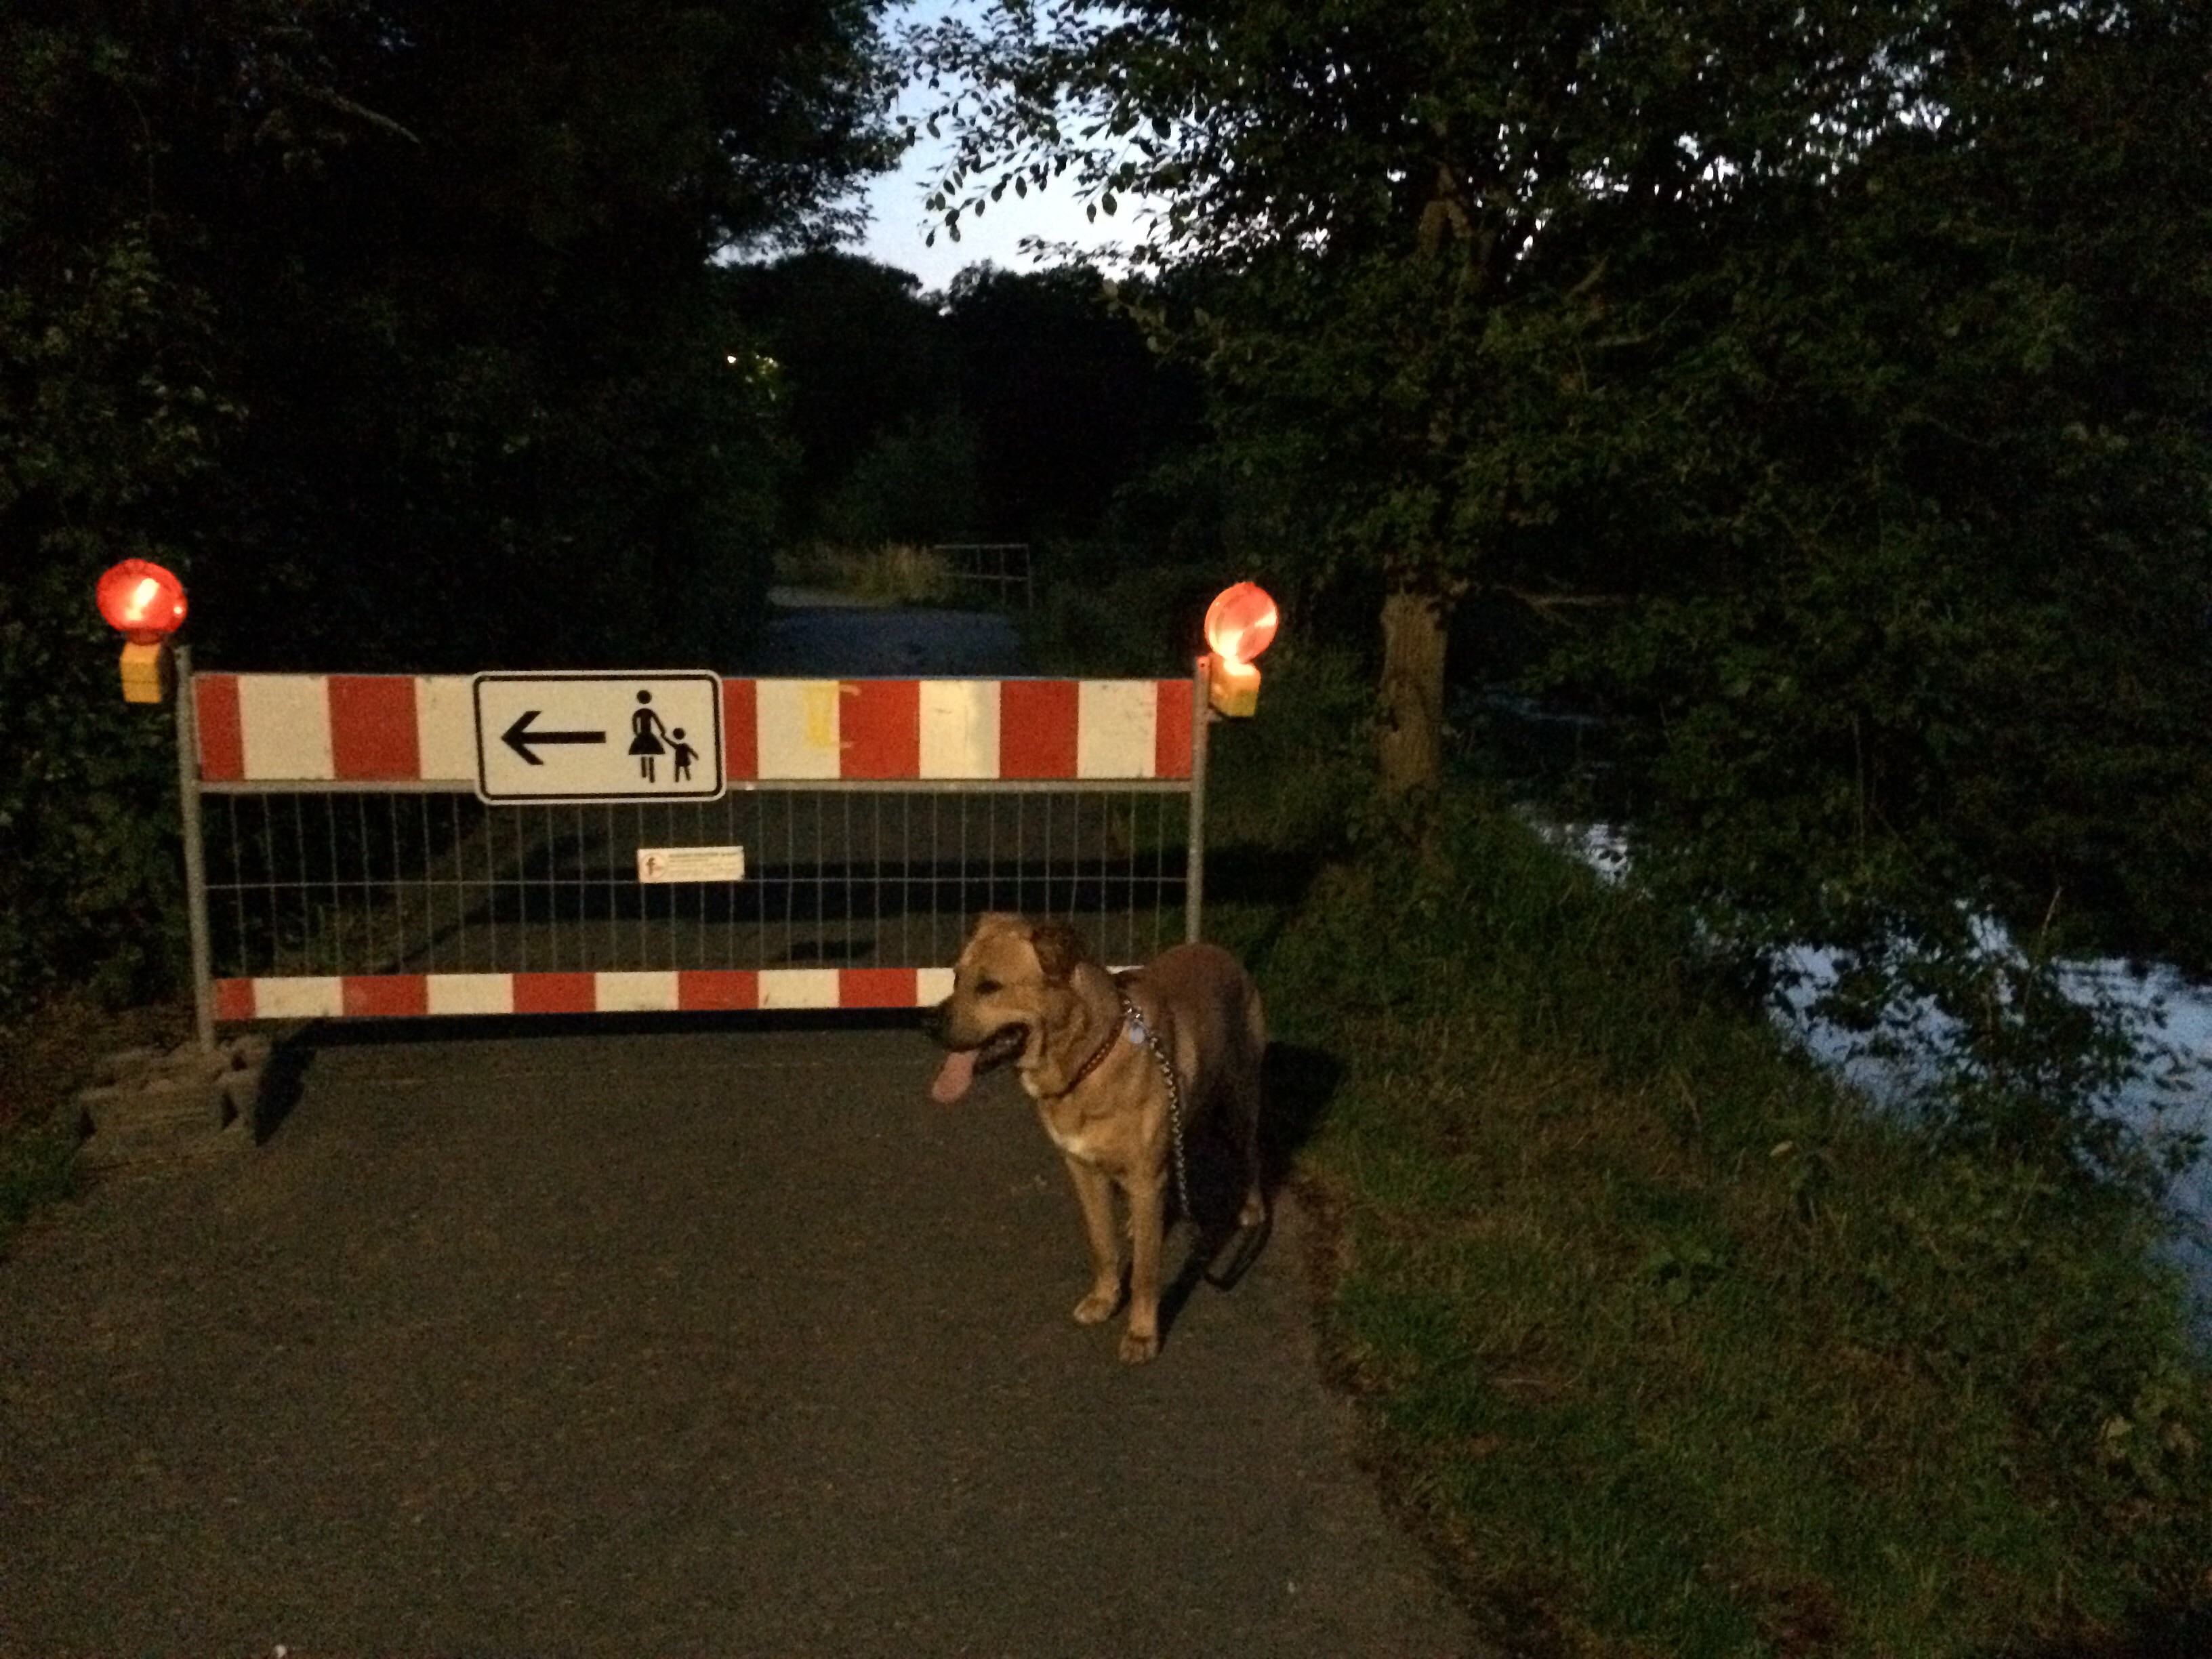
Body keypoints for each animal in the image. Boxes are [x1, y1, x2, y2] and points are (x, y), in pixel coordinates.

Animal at [916, 916, 1265, 1371]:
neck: (1087, 1058)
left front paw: (1142, 1335)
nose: (926, 1023)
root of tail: (1220, 951)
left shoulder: (1143, 1175)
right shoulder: (1083, 1170)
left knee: (1254, 1152)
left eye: (990, 986)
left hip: (1242, 1097)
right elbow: (1102, 1244)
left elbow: (1147, 1272)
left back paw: (1252, 1209)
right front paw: (1104, 1300)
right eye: (957, 978)